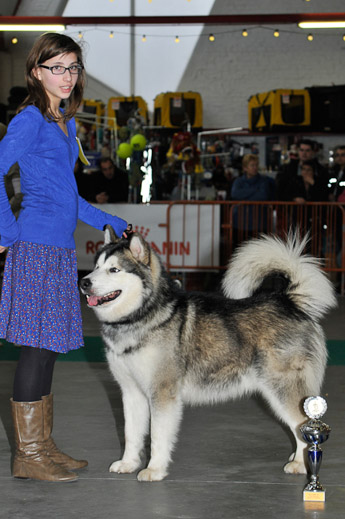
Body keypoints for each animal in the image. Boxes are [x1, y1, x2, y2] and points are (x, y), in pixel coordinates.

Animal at [79, 229, 334, 484]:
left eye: (114, 269)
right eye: (96, 267)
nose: (84, 282)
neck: (138, 318)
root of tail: (289, 301)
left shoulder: (162, 392)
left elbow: (158, 436)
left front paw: (154, 469)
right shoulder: (131, 392)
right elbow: (131, 433)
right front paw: (128, 463)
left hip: (283, 390)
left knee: (301, 426)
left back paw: (300, 464)